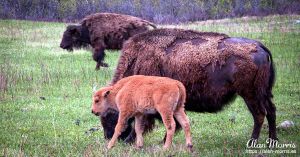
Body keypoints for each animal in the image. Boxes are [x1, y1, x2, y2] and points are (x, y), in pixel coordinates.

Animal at [99, 28, 276, 144]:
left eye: (108, 116)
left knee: (260, 114)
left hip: (250, 94)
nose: (109, 137)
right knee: (271, 111)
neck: (137, 60)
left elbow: (148, 123)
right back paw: (272, 140)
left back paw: (253, 142)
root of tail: (260, 47)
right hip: (263, 93)